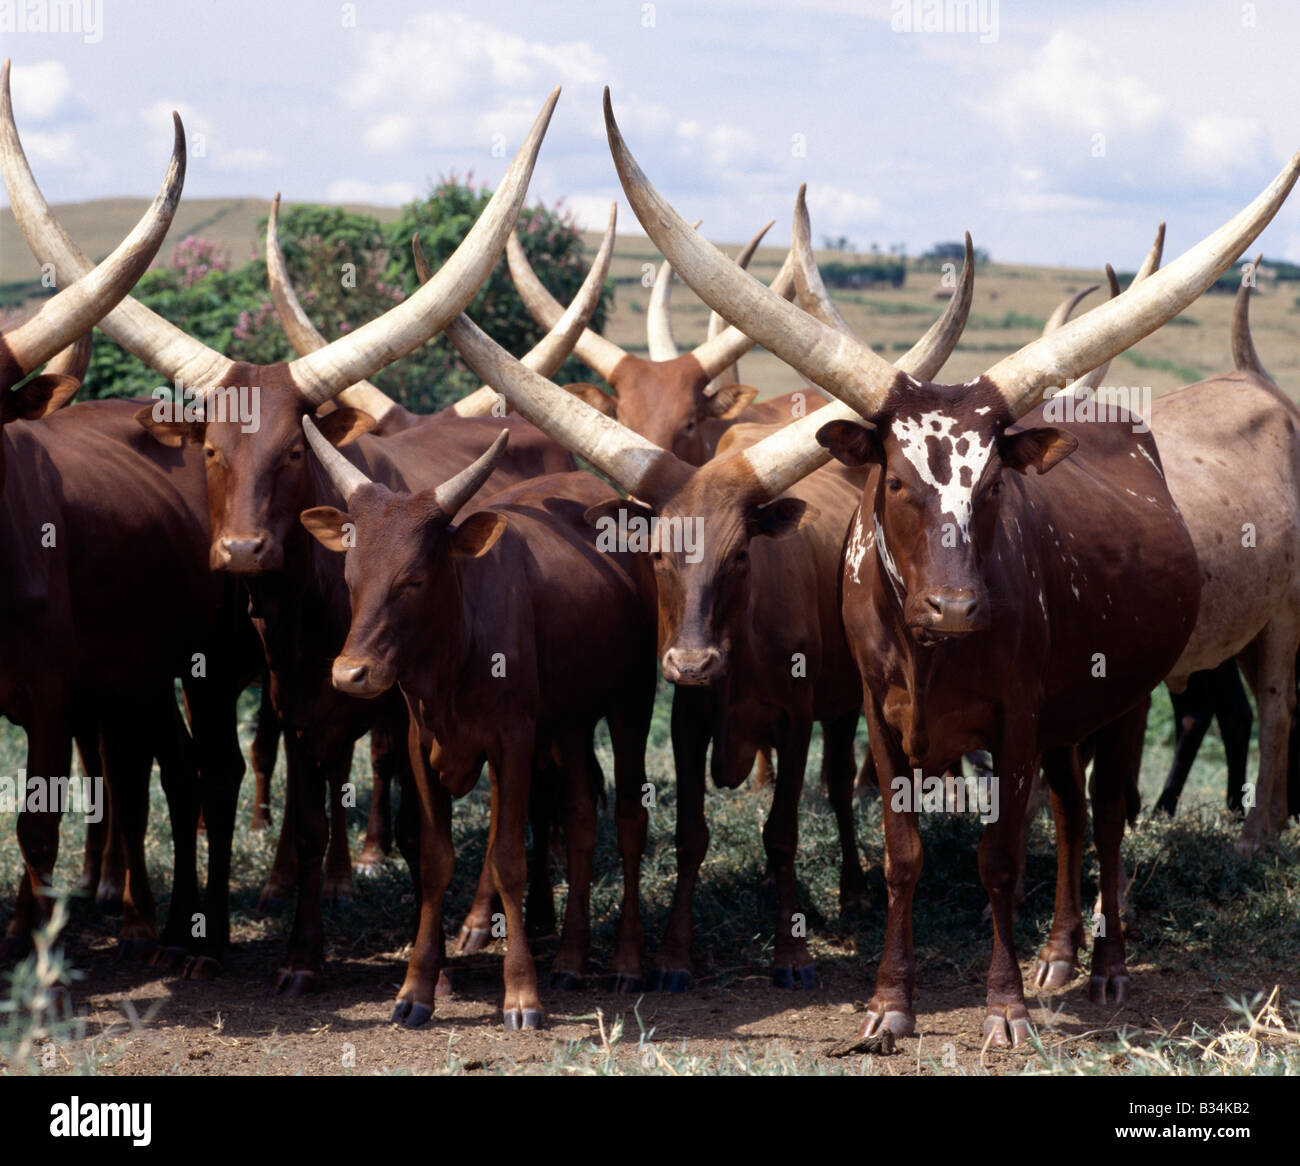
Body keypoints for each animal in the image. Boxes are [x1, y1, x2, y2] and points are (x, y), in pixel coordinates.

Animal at [299, 421, 657, 1028]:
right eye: (350, 576)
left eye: (413, 579)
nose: (351, 673)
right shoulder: (421, 746)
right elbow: (435, 859)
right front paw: (416, 989)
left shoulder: (512, 741)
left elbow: (507, 857)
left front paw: (521, 994)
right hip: (569, 722)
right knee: (581, 818)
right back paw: (569, 959)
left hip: (633, 702)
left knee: (630, 819)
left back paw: (628, 963)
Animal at [434, 211, 973, 993]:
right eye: (658, 554)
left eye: (741, 554)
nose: (691, 662)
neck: (738, 650)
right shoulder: (688, 722)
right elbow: (690, 833)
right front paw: (673, 955)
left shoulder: (798, 718)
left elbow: (782, 830)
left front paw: (790, 953)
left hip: (848, 703)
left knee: (842, 784)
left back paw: (852, 890)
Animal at [597, 87, 1298, 1043]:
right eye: (894, 479)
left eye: (995, 480)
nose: (956, 609)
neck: (930, 648)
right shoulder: (883, 719)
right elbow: (904, 855)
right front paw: (891, 1004)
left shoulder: (1014, 719)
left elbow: (1000, 857)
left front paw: (1003, 1007)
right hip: (1068, 714)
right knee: (1073, 816)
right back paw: (1058, 954)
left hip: (1127, 694)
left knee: (1112, 818)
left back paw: (1106, 966)